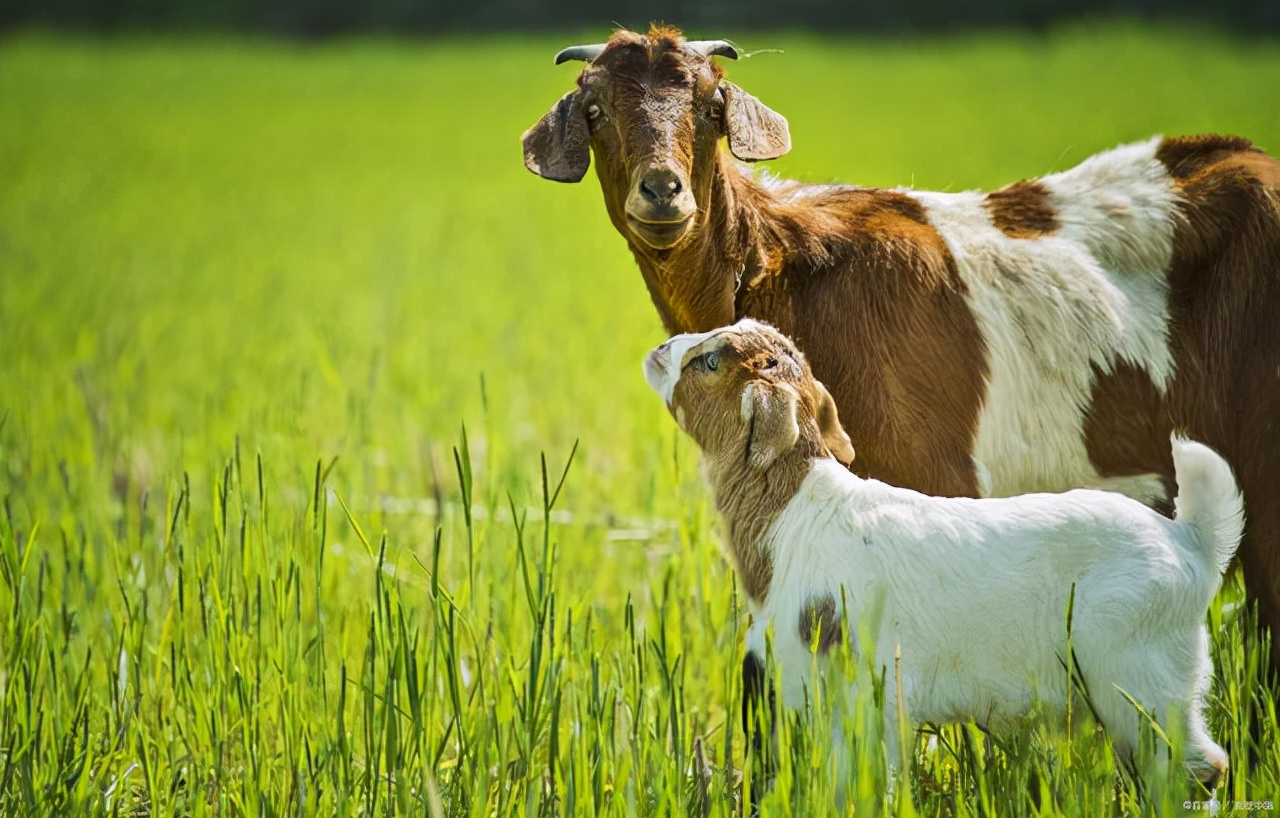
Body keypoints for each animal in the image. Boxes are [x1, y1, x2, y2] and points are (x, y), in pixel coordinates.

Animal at [645, 320, 1244, 788]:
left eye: (711, 361)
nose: (659, 351)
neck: (797, 513)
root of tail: (1191, 541)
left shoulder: (857, 690)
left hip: (1141, 676)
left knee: (1199, 766)